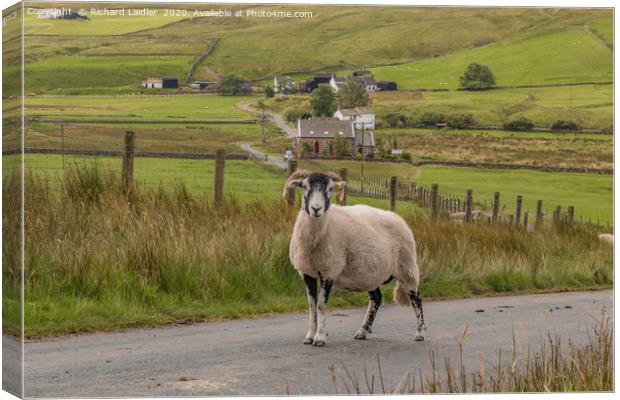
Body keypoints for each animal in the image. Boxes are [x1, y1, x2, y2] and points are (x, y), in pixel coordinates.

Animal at [284, 170, 426, 348]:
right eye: (304, 187)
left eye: (330, 189)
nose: (316, 209)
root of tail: (398, 218)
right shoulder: (307, 273)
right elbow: (311, 306)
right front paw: (309, 336)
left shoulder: (329, 271)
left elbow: (321, 306)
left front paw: (320, 338)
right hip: (371, 274)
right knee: (376, 298)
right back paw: (362, 331)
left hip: (406, 267)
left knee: (416, 298)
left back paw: (420, 333)